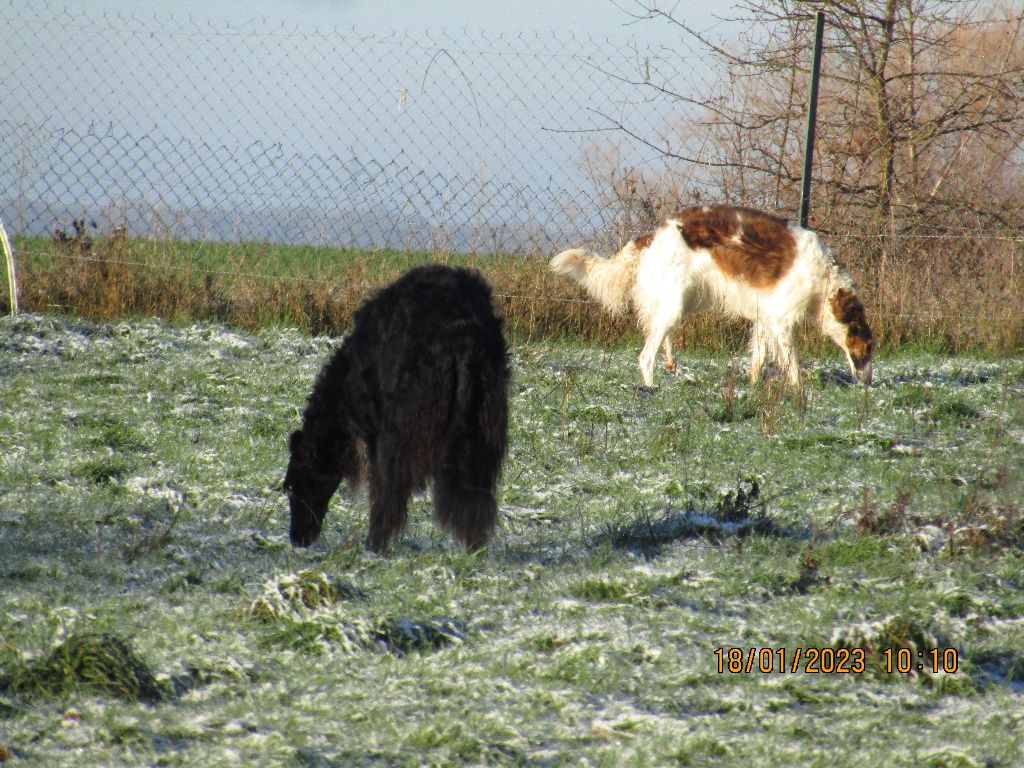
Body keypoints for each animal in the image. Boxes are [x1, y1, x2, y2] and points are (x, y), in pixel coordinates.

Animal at [552, 204, 872, 387]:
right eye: (867, 350)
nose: (869, 383)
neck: (826, 279)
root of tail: (655, 233)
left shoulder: (765, 316)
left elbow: (757, 358)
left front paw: (752, 385)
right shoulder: (781, 319)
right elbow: (792, 364)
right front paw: (799, 391)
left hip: (684, 300)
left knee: (658, 333)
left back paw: (670, 363)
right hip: (677, 301)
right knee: (645, 355)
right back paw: (651, 388)